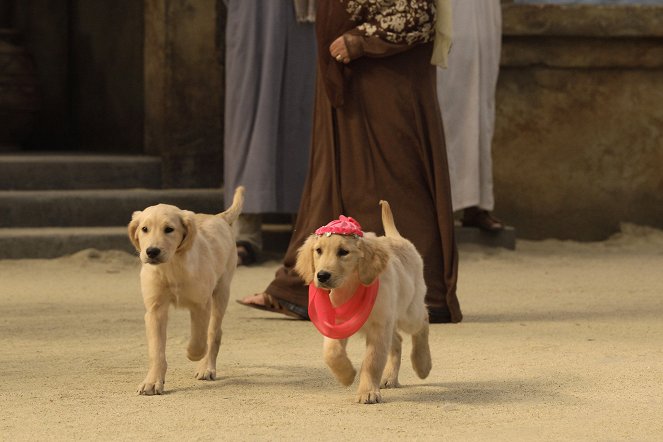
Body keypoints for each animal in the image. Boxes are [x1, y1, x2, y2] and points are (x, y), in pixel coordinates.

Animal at [128, 186, 245, 394]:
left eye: (169, 229)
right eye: (144, 229)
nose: (152, 251)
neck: (172, 267)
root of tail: (219, 217)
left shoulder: (201, 305)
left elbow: (199, 340)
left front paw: (193, 354)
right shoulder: (155, 310)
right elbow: (156, 350)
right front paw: (153, 381)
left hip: (222, 291)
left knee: (214, 332)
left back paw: (206, 367)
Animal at [294, 202, 430, 402]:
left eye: (343, 252)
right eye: (318, 251)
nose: (322, 276)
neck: (352, 287)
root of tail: (396, 238)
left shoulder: (379, 327)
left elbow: (372, 361)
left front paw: (367, 392)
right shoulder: (338, 323)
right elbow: (331, 352)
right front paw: (347, 375)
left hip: (408, 311)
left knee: (423, 321)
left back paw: (423, 364)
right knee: (397, 340)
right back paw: (390, 377)